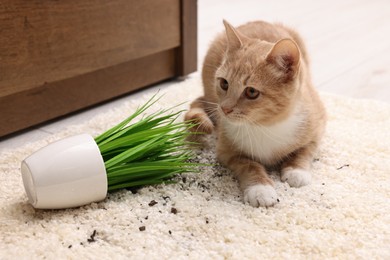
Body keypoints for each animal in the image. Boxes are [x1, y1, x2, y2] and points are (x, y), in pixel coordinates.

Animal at [186, 20, 326, 207]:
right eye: (224, 83)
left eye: (251, 92)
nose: (224, 109)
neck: (266, 126)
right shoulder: (226, 150)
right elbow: (249, 164)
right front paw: (260, 189)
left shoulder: (318, 124)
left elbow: (305, 150)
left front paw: (296, 170)